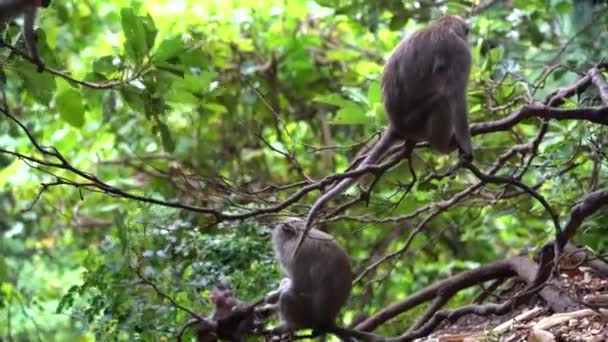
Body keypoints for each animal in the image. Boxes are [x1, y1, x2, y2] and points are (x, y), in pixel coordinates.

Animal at [294, 14, 476, 255]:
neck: (442, 26)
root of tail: (395, 124)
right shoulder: (460, 52)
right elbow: (455, 93)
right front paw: (467, 147)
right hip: (416, 121)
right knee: (442, 101)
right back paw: (443, 145)